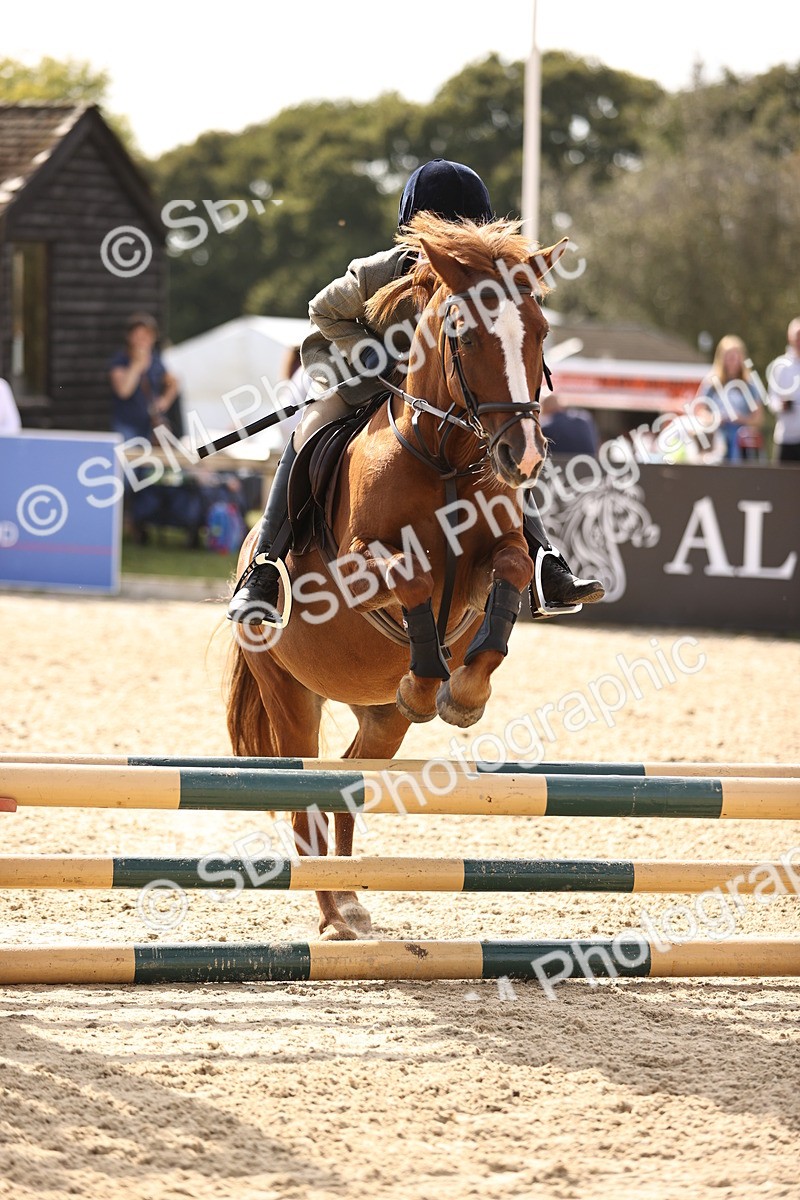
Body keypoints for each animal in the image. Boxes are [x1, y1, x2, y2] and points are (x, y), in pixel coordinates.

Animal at [226, 212, 567, 939]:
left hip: (378, 717)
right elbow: (410, 580)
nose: (523, 457)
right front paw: (431, 680)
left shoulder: (491, 558)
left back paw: (351, 900)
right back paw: (333, 914)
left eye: (542, 331)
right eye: (466, 335)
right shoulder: (357, 569)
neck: (444, 456)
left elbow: (510, 567)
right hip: (288, 693)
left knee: (345, 784)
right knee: (303, 800)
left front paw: (463, 691)